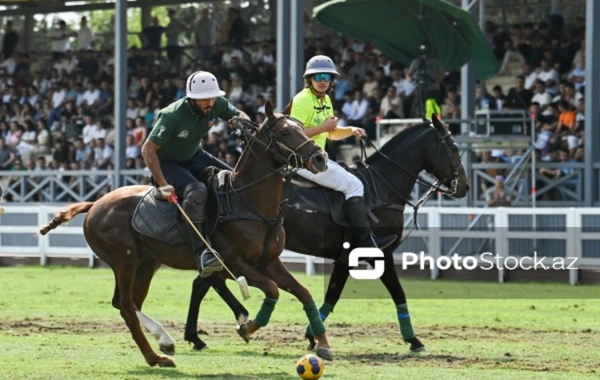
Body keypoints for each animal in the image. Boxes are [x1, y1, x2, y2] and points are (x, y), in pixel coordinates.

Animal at [38, 101, 332, 368]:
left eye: (302, 127)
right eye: (285, 132)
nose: (320, 158)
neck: (249, 202)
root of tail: (94, 204)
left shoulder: (269, 262)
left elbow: (304, 293)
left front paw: (323, 344)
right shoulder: (234, 263)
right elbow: (271, 289)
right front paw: (247, 327)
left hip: (147, 262)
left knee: (127, 303)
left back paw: (163, 343)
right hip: (124, 259)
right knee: (125, 305)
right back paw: (158, 354)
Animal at [183, 114, 468, 352]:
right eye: (454, 148)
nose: (464, 187)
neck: (381, 187)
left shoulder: (345, 258)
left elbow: (332, 295)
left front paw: (312, 335)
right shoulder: (379, 252)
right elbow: (397, 292)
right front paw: (414, 340)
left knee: (206, 281)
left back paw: (209, 331)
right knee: (205, 281)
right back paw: (204, 333)